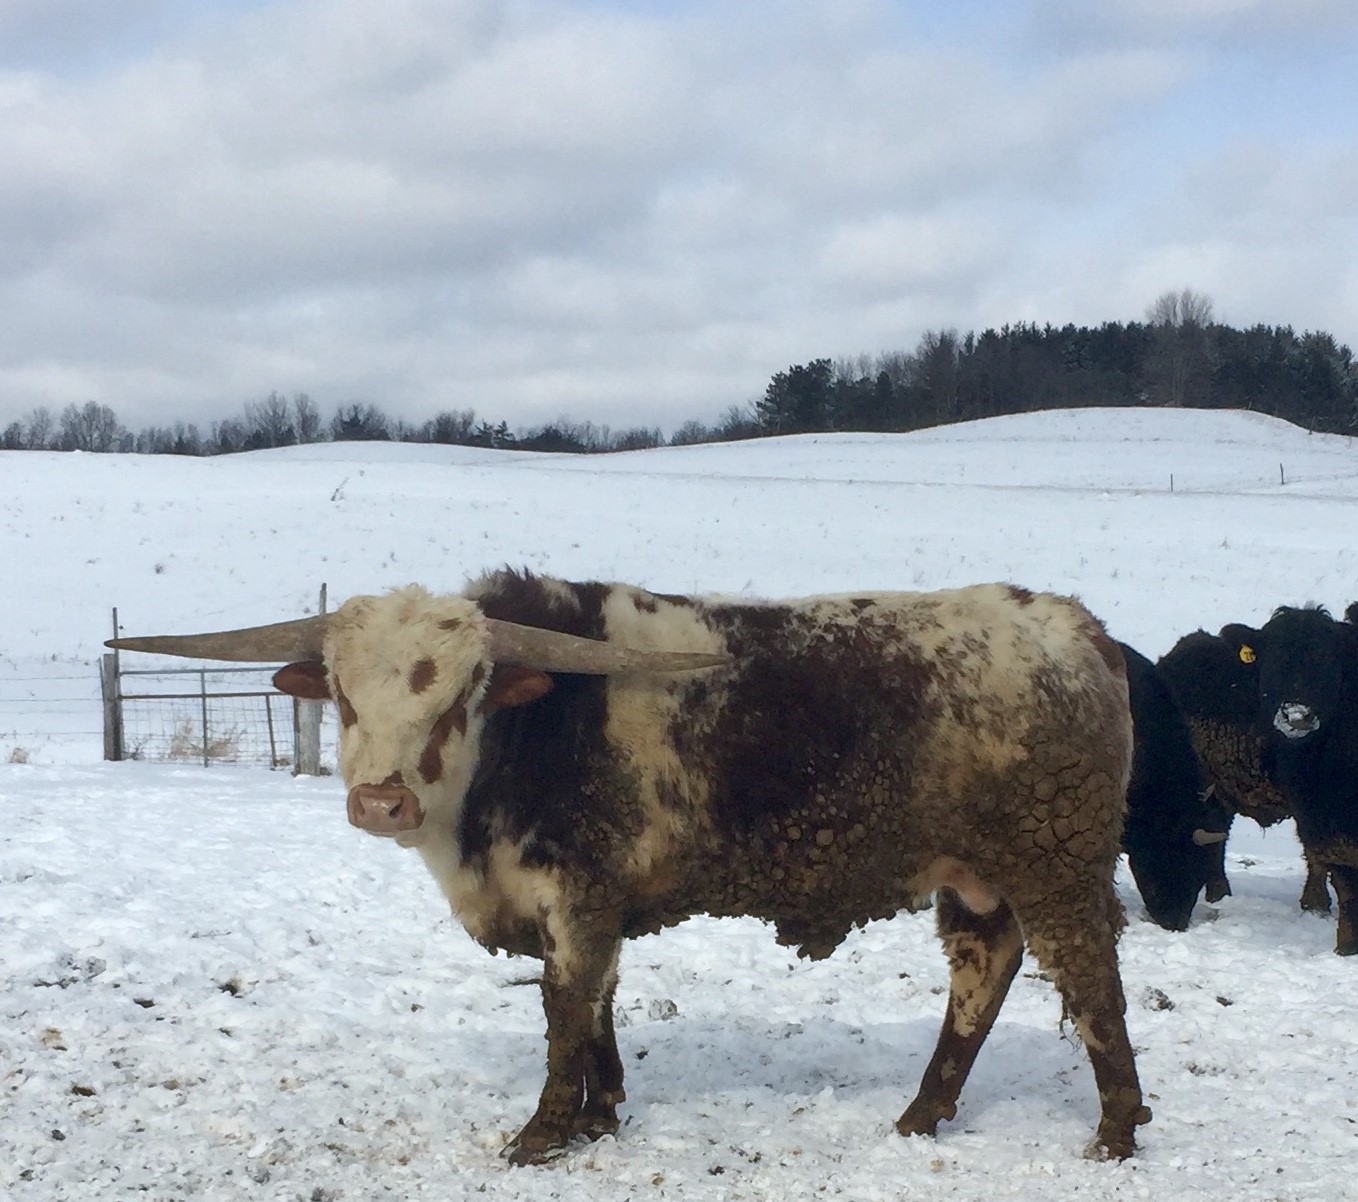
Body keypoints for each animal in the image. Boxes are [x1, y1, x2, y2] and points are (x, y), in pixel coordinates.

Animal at [109, 570, 1151, 1162]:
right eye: (341, 692)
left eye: (464, 693)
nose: (381, 802)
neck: (527, 739)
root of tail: (1077, 627)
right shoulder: (590, 903)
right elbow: (599, 1003)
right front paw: (600, 1112)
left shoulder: (574, 894)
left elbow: (565, 1006)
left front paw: (541, 1133)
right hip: (979, 877)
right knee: (984, 971)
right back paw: (923, 1114)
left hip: (1057, 861)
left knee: (1089, 979)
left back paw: (1114, 1131)